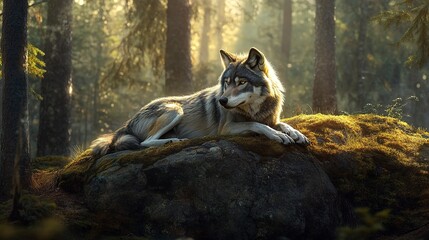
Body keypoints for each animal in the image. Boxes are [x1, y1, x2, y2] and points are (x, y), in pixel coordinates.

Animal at [92, 47, 310, 157]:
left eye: (241, 82)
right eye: (227, 82)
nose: (222, 100)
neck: (256, 109)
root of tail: (127, 123)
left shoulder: (272, 119)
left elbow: (283, 124)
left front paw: (296, 134)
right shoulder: (227, 128)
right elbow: (258, 125)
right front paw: (278, 135)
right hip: (175, 110)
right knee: (145, 142)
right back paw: (174, 141)